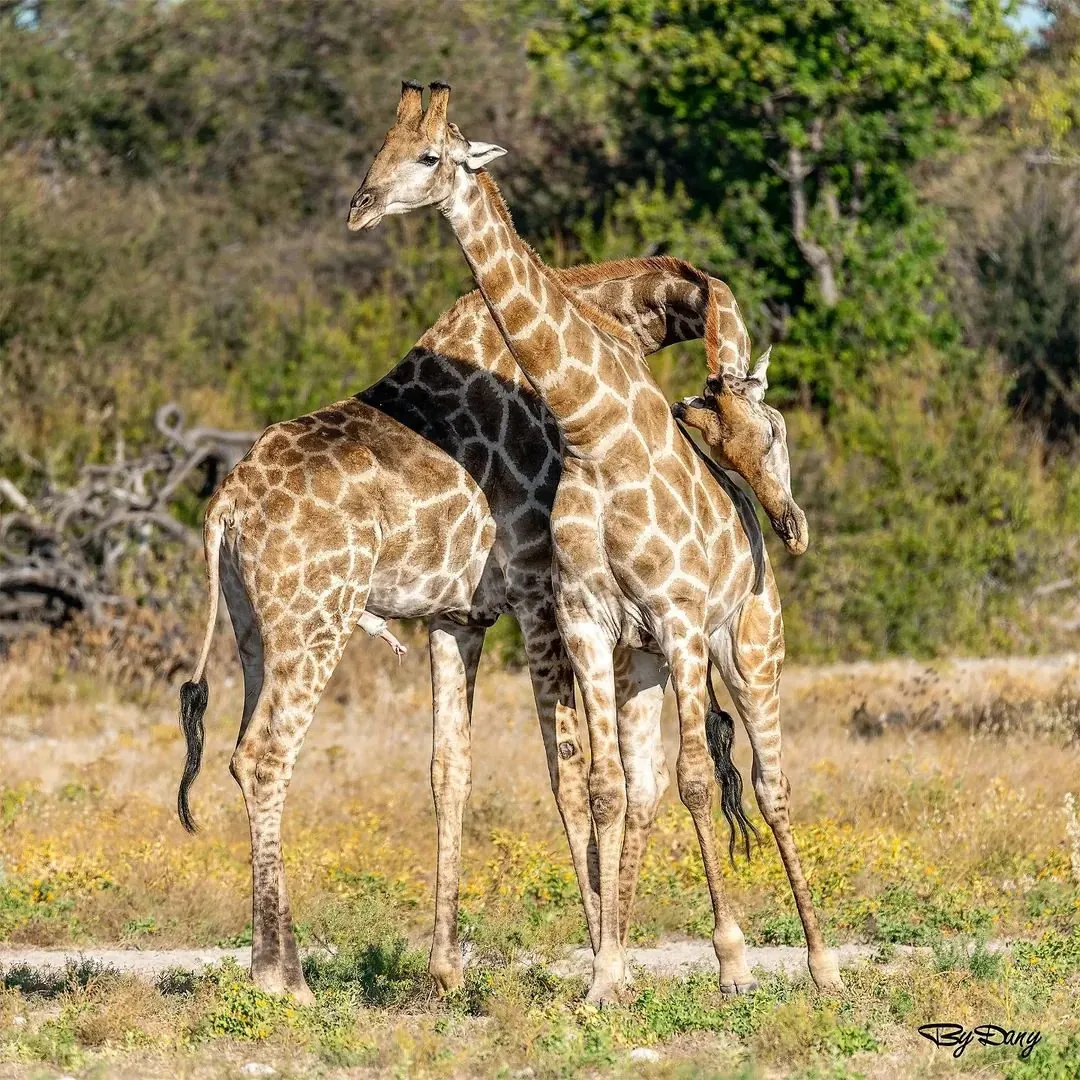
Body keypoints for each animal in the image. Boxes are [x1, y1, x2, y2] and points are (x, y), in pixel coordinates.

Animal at [176, 247, 805, 1002]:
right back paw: (286, 979)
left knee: (246, 754)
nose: (784, 525)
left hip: (253, 636)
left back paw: (265, 968)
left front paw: (447, 969)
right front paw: (605, 957)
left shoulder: (457, 617)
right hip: (317, 619)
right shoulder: (539, 594)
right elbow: (569, 771)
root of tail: (224, 509)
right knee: (266, 757)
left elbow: (450, 771)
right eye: (768, 431)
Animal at [348, 80, 841, 1004]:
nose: (359, 207)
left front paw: (730, 960)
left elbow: (695, 780)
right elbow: (608, 788)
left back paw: (821, 966)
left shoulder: (679, 618)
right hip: (645, 660)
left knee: (770, 783)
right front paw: (606, 974)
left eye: (429, 156)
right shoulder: (588, 621)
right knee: (649, 789)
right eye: (376, 150)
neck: (595, 432)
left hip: (746, 646)